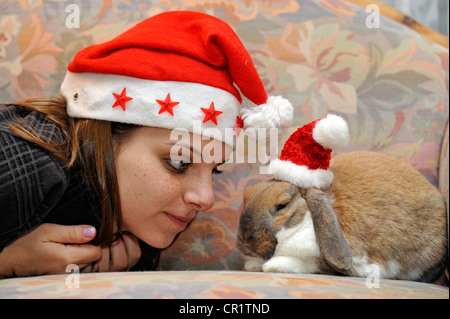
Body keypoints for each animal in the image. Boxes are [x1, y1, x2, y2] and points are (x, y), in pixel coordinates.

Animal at [237, 151, 448, 284]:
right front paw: (253, 265)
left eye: (282, 205)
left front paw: (272, 266)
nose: (244, 238)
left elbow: (308, 264)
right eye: (246, 196)